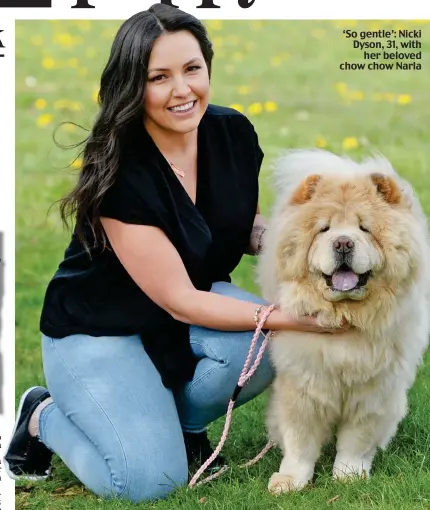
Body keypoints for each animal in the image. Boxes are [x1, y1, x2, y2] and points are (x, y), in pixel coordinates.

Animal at [256, 148, 428, 494]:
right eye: (324, 229)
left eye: (364, 229)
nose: (344, 243)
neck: (347, 317)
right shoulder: (302, 386)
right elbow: (299, 441)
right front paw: (289, 481)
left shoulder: (374, 392)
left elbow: (357, 441)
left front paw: (349, 475)